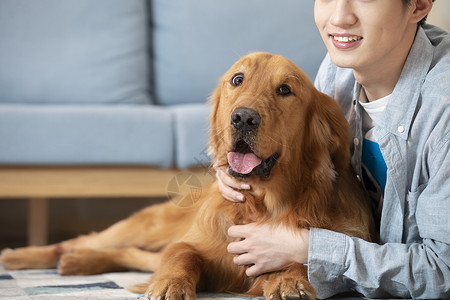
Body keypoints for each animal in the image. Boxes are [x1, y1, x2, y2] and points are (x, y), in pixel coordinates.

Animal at [0, 52, 372, 298]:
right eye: (237, 80)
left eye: (285, 89)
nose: (243, 118)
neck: (263, 204)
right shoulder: (195, 243)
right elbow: (181, 256)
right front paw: (170, 285)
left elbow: (305, 256)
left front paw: (288, 280)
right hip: (148, 226)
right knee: (86, 240)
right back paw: (23, 256)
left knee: (134, 254)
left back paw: (77, 263)